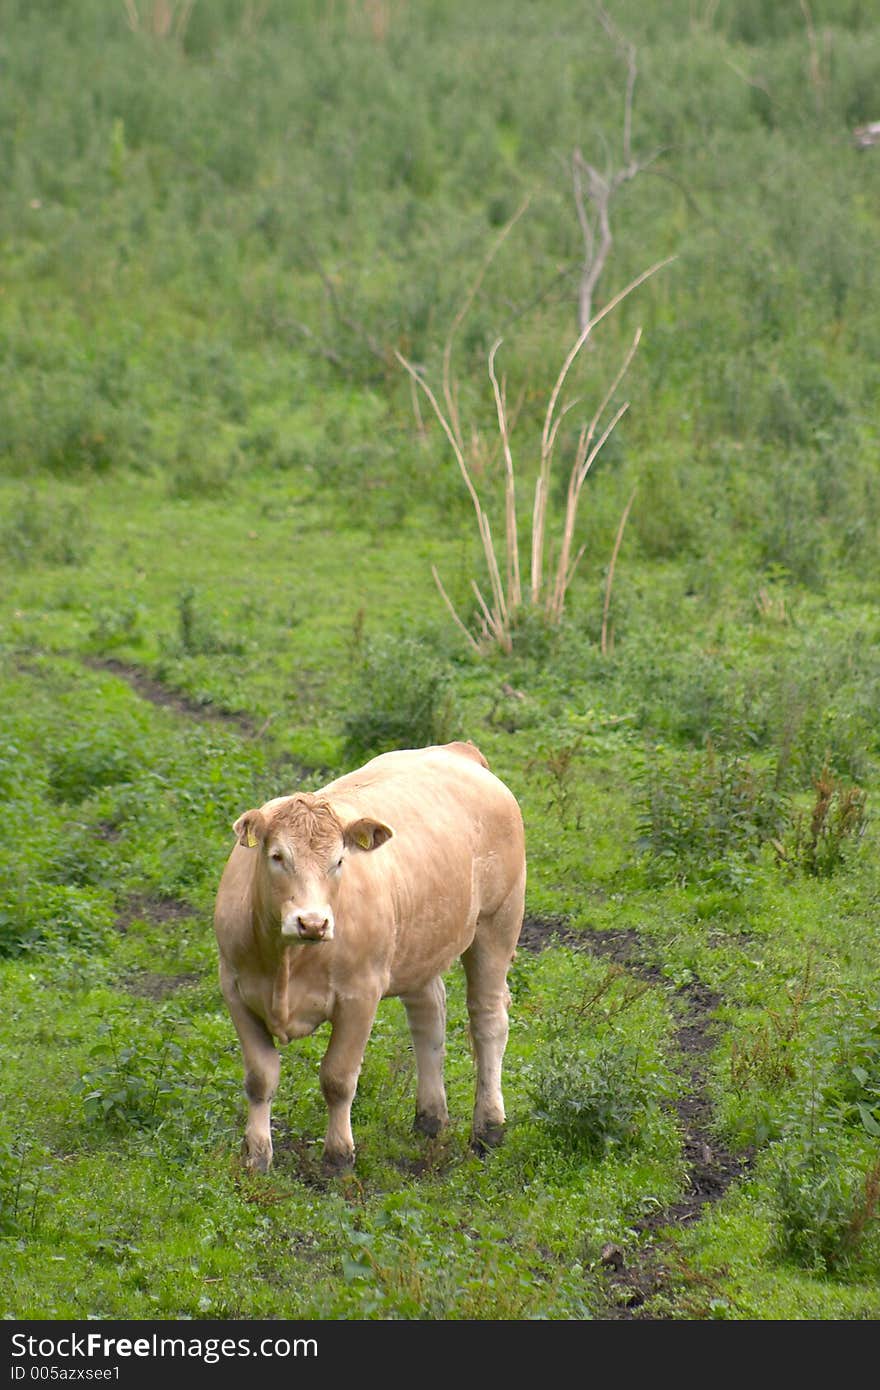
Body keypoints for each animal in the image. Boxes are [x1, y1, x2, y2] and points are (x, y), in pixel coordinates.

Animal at [214, 739, 525, 1173]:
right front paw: (257, 1156)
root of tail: (457, 750)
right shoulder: (235, 989)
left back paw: (489, 1128)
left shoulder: (360, 995)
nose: (312, 923)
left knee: (488, 1019)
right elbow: (260, 1077)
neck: (288, 964)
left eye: (340, 861)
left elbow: (338, 1078)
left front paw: (338, 1157)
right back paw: (430, 1118)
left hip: (498, 922)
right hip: (421, 943)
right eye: (277, 856)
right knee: (429, 1016)